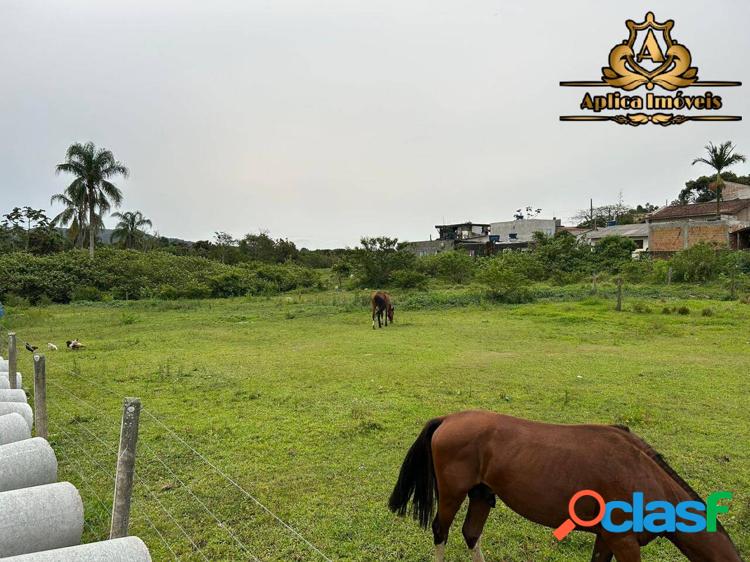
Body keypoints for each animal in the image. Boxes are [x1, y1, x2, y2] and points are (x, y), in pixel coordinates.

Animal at [390, 406, 744, 560]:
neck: (643, 477)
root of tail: (448, 419)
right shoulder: (624, 542)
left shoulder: (608, 539)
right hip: (453, 494)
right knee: (441, 531)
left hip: (481, 494)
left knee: (471, 533)